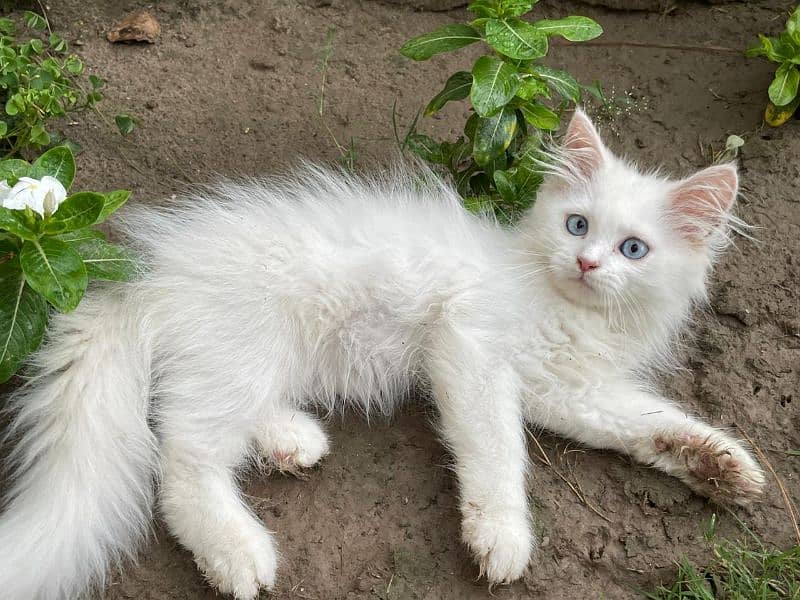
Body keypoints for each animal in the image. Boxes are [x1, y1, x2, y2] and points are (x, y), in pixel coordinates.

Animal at [0, 110, 764, 596]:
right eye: (577, 224)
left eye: (634, 249)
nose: (586, 262)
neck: (565, 305)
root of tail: (147, 276)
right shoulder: (470, 347)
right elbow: (499, 451)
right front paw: (501, 535)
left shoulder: (566, 389)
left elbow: (643, 421)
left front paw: (723, 465)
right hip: (248, 348)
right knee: (181, 462)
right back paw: (239, 553)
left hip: (245, 361)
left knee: (192, 421)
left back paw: (289, 439)